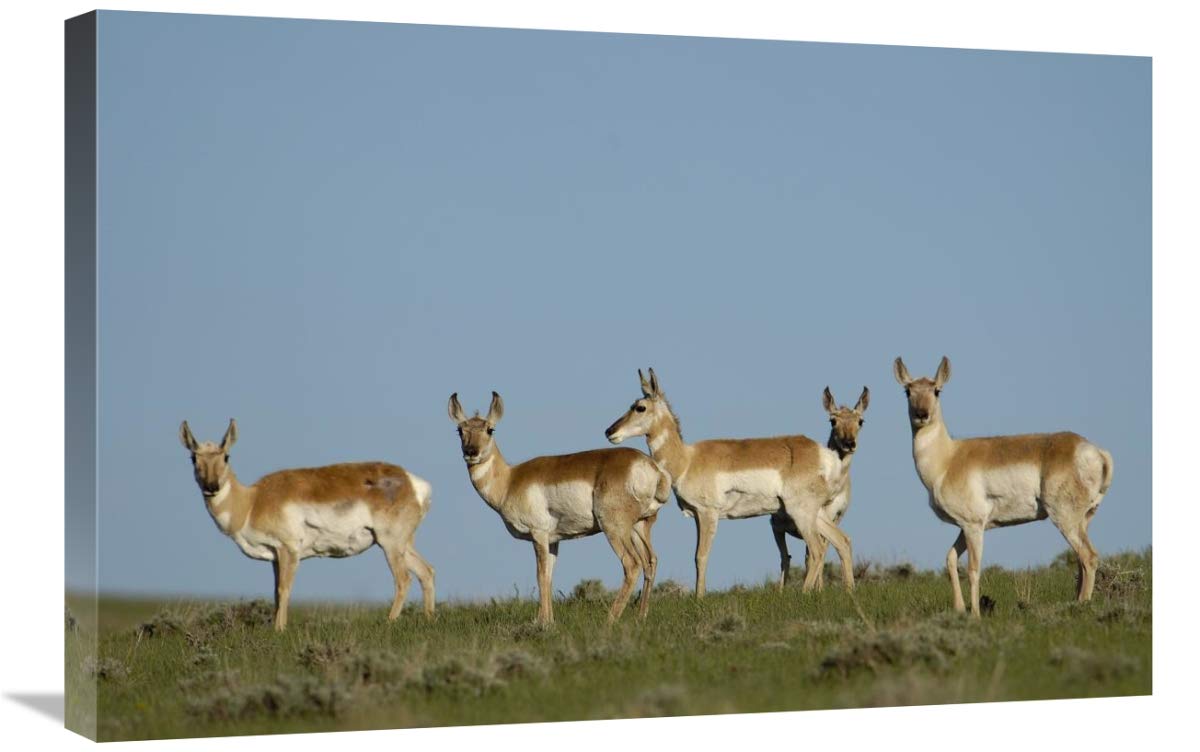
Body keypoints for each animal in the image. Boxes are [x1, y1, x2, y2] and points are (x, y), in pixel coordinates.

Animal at [179, 419, 436, 631]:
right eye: (193, 458)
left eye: (226, 456)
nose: (211, 487)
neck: (252, 501)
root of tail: (412, 482)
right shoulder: (275, 557)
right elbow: (275, 593)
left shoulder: (288, 550)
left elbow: (284, 590)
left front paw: (279, 631)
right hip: (402, 545)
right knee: (426, 572)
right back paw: (427, 619)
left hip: (390, 544)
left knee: (403, 579)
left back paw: (389, 622)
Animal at [448, 392, 670, 624]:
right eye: (460, 430)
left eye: (490, 429)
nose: (471, 452)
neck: (510, 479)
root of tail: (651, 466)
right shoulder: (554, 540)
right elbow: (548, 577)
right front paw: (549, 620)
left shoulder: (538, 534)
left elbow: (540, 575)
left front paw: (542, 622)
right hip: (639, 527)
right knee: (650, 561)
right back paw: (641, 616)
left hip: (614, 528)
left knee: (632, 564)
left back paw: (609, 620)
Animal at [605, 368, 854, 596]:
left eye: (640, 407)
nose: (609, 431)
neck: (687, 460)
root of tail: (823, 454)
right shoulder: (698, 517)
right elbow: (697, 556)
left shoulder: (708, 514)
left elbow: (701, 556)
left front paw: (699, 598)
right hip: (815, 513)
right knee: (842, 541)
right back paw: (848, 590)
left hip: (801, 513)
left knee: (817, 549)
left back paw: (803, 593)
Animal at [769, 386, 868, 591]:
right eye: (833, 420)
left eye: (860, 421)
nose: (849, 443)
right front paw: (818, 590)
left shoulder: (834, 519)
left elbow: (823, 552)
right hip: (779, 528)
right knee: (786, 557)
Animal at [893, 357, 1114, 616]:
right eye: (908, 391)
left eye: (937, 390)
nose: (922, 414)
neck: (948, 459)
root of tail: (1092, 450)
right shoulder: (965, 527)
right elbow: (950, 559)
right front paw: (959, 609)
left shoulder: (973, 526)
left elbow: (973, 570)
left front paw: (975, 615)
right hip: (1082, 520)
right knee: (1081, 560)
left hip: (1065, 518)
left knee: (1088, 557)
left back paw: (1082, 606)